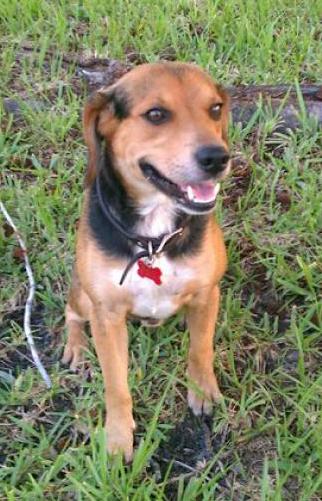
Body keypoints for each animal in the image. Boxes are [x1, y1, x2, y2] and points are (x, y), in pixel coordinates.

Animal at [62, 62, 229, 460]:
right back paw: (76, 347)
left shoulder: (207, 293)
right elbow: (116, 386)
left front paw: (203, 391)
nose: (218, 158)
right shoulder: (106, 314)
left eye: (215, 109)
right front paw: (118, 438)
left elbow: (201, 349)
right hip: (82, 294)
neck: (154, 237)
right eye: (156, 114)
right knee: (70, 312)